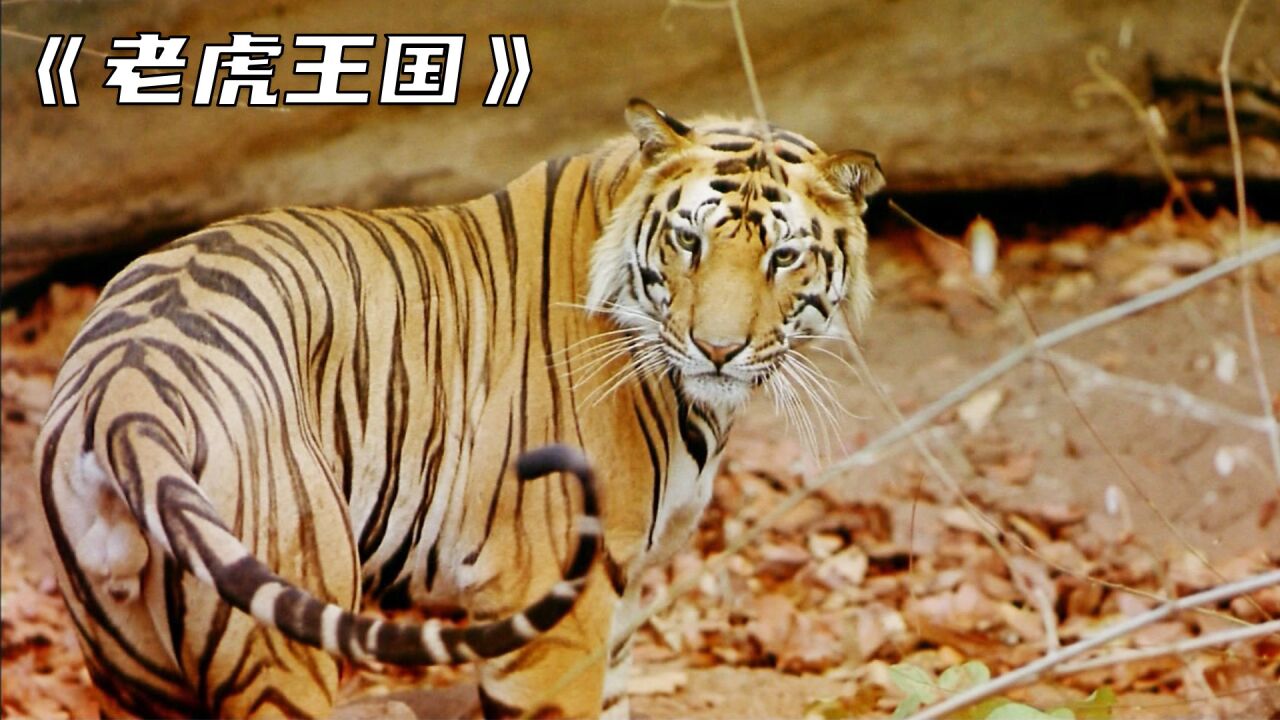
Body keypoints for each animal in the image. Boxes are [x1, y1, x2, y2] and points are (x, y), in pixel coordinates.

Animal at [35, 98, 884, 718]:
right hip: (287, 646)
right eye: (688, 242)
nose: (718, 349)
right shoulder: (557, 615)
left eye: (783, 256)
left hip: (130, 674)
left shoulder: (621, 604)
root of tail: (126, 388)